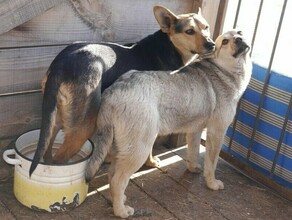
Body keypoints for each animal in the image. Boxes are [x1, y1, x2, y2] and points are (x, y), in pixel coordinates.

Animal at [29, 5, 214, 175]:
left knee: (47, 151)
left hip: (56, 117)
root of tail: (61, 63)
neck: (169, 46)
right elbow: (150, 146)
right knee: (60, 159)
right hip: (83, 126)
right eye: (189, 31)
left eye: (206, 27)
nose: (211, 45)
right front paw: (151, 162)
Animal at [85, 29, 252, 218]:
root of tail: (111, 93)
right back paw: (121, 211)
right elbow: (212, 163)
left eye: (239, 32)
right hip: (139, 150)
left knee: (112, 176)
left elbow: (193, 152)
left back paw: (118, 200)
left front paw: (193, 168)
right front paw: (212, 183)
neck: (223, 71)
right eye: (224, 41)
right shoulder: (217, 132)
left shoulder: (194, 131)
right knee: (117, 181)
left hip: (123, 148)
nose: (239, 39)